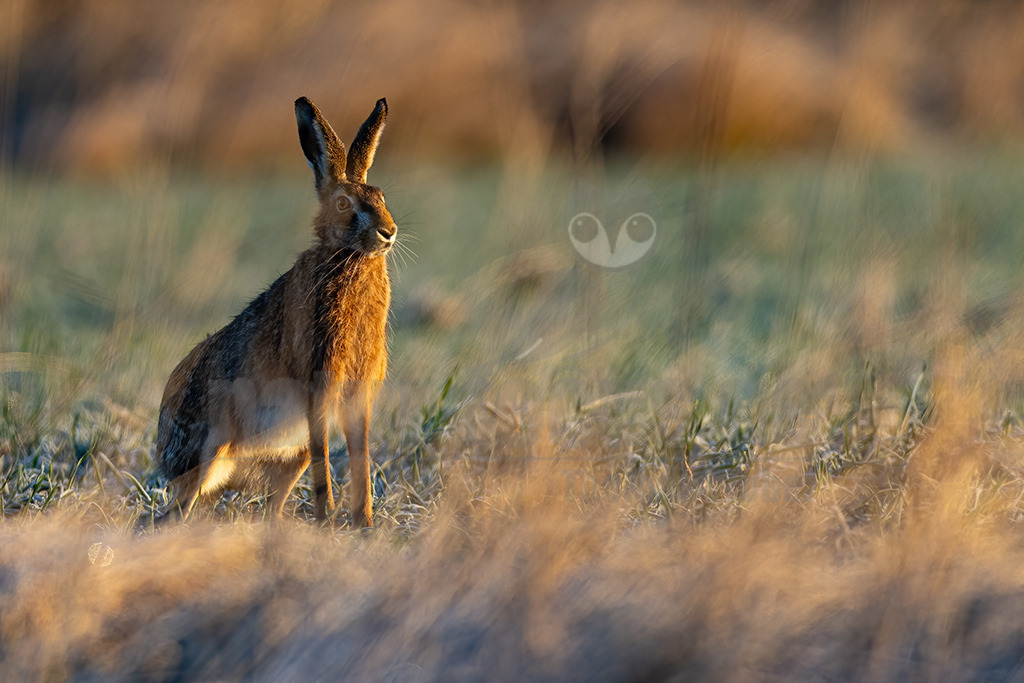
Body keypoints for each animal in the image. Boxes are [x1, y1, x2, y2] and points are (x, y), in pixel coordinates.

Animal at [154, 96, 395, 527]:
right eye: (343, 204)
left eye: (382, 197)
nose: (389, 232)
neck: (347, 256)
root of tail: (165, 461)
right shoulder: (319, 379)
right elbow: (325, 456)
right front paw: (328, 519)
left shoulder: (357, 392)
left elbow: (360, 454)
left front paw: (364, 523)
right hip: (213, 447)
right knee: (178, 507)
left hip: (288, 459)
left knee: (272, 501)